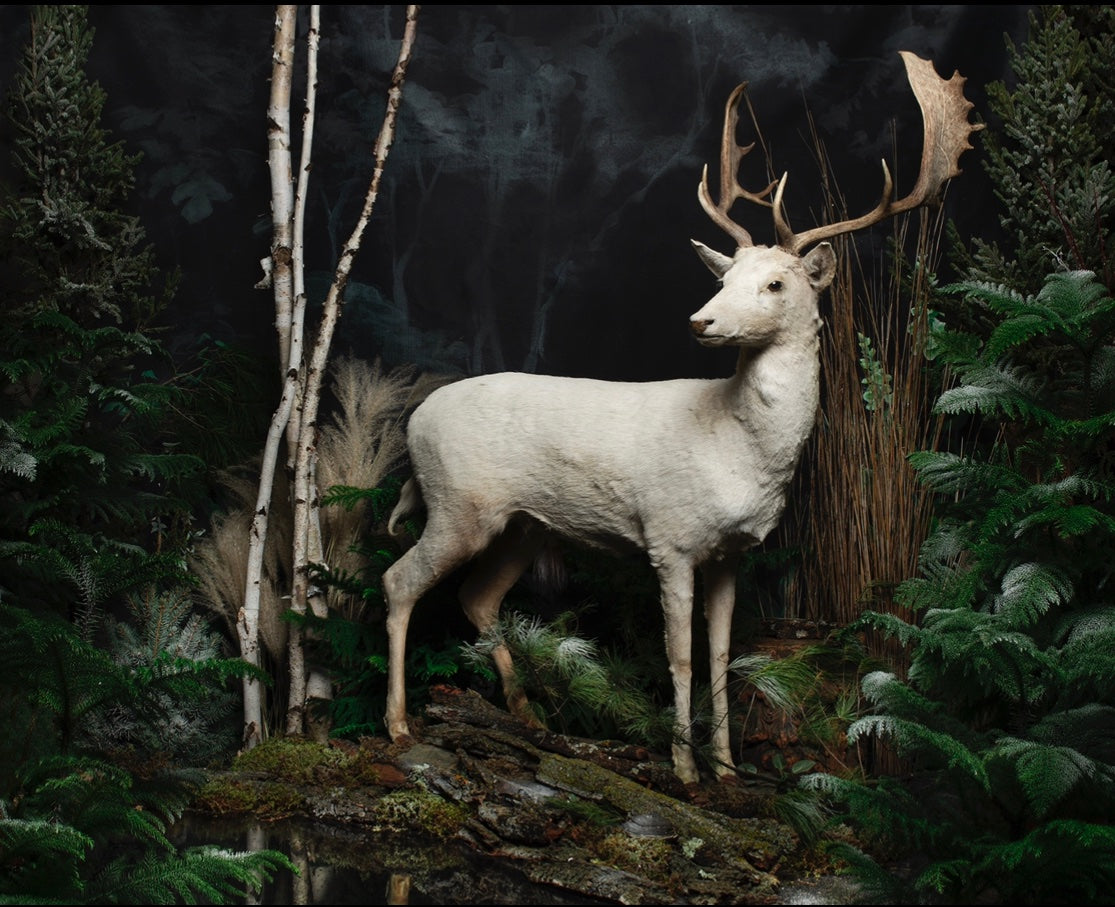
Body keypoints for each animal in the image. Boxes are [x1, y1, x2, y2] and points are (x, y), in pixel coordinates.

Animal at [382, 52, 982, 784]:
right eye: (723, 278)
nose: (701, 320)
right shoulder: (668, 538)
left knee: (477, 597)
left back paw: (526, 713)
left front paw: (726, 765)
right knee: (398, 580)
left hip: (521, 523)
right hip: (457, 503)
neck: (736, 449)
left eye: (775, 283)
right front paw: (684, 767)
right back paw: (398, 723)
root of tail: (413, 422)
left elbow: (722, 652)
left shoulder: (731, 553)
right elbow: (679, 653)